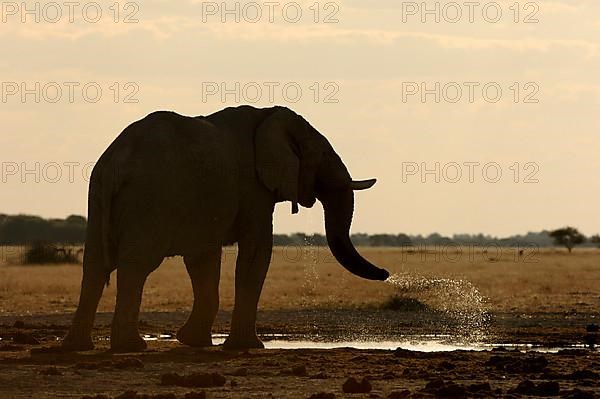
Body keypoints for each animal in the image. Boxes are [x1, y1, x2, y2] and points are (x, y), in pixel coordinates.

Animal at [61, 106, 390, 354]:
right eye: (322, 157)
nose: (388, 274)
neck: (268, 115)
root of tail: (116, 162)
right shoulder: (253, 189)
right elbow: (257, 252)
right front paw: (249, 347)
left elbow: (203, 259)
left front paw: (193, 342)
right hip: (147, 198)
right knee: (136, 266)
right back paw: (131, 347)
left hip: (98, 198)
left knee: (94, 267)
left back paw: (77, 346)